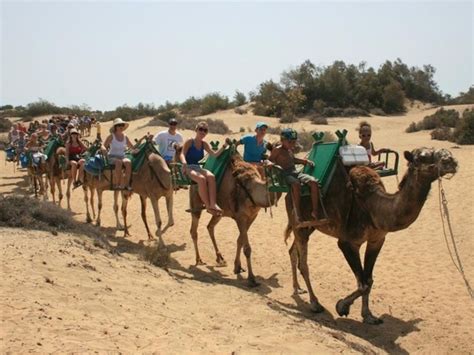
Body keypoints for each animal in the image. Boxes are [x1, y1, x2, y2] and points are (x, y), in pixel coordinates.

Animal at [184, 149, 282, 286]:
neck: (252, 189)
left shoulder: (252, 216)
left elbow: (239, 240)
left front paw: (238, 267)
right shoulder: (241, 217)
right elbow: (247, 248)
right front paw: (251, 278)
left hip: (219, 212)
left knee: (210, 226)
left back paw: (220, 258)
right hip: (196, 202)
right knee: (194, 230)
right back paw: (199, 259)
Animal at [284, 147, 458, 326]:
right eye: (423, 157)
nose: (451, 161)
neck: (374, 207)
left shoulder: (377, 240)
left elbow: (368, 280)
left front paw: (368, 315)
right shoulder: (348, 242)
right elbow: (362, 284)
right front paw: (342, 306)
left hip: (309, 225)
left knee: (292, 251)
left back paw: (297, 288)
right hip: (297, 220)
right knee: (303, 263)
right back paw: (314, 303)